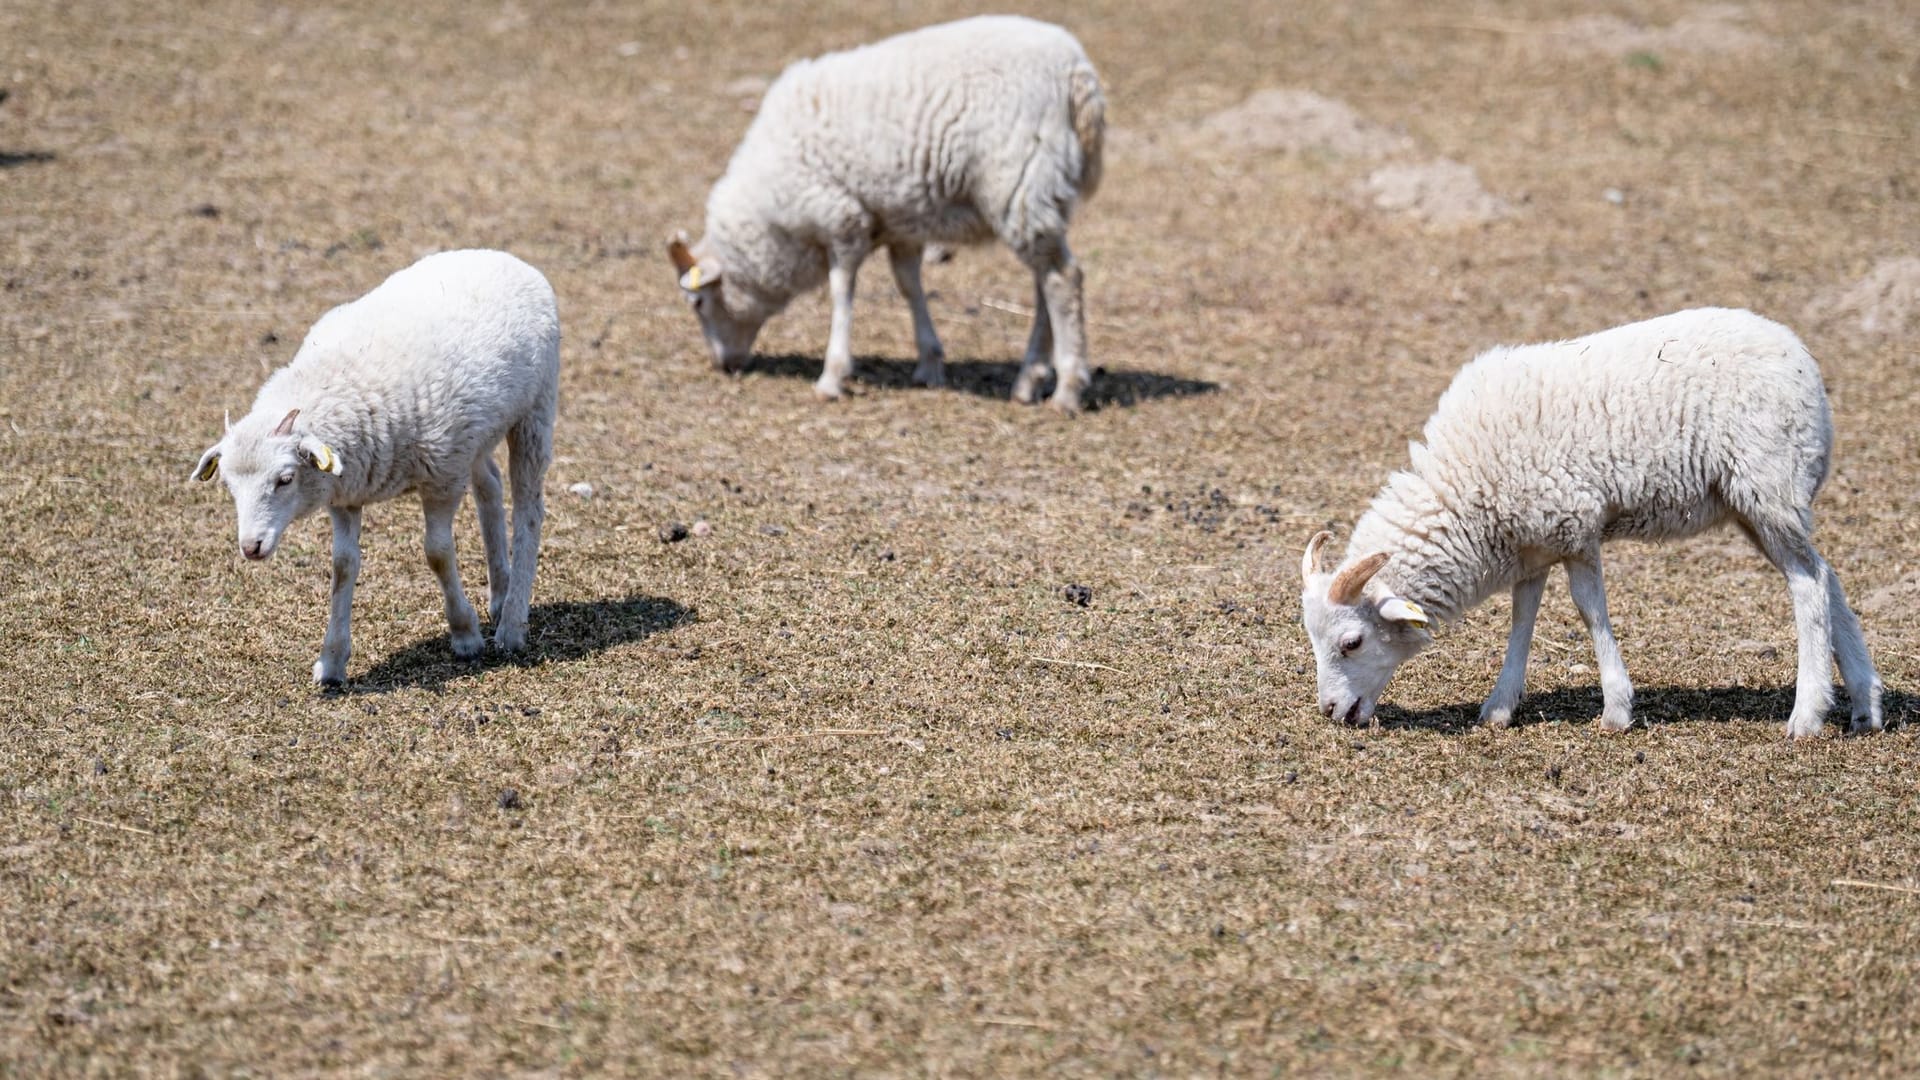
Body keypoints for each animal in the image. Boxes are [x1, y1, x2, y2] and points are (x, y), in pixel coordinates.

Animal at [190, 247, 560, 680]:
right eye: (229, 486)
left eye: (285, 479)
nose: (251, 547)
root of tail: (500, 255)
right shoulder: (345, 493)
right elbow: (342, 566)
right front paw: (332, 660)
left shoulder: (443, 476)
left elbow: (437, 553)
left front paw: (465, 634)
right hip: (477, 434)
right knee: (490, 486)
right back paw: (500, 594)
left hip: (535, 410)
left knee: (528, 509)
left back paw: (512, 624)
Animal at [668, 16, 1105, 411]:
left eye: (698, 303)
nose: (723, 365)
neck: (771, 221)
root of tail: (1078, 76)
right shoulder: (901, 222)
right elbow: (909, 285)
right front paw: (929, 363)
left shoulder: (842, 219)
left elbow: (842, 291)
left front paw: (832, 376)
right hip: (1041, 197)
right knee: (1045, 282)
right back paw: (1029, 380)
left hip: (1020, 183)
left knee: (1063, 279)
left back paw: (1067, 390)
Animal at [1297, 307, 1881, 734]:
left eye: (1352, 643)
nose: (1331, 712)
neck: (1465, 489)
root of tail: (1802, 359)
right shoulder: (1531, 541)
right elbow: (1523, 616)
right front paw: (1500, 706)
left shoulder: (1574, 526)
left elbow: (1587, 610)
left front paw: (1616, 709)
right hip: (1753, 504)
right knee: (1825, 574)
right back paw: (1864, 705)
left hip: (1768, 483)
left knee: (1807, 585)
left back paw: (1806, 716)